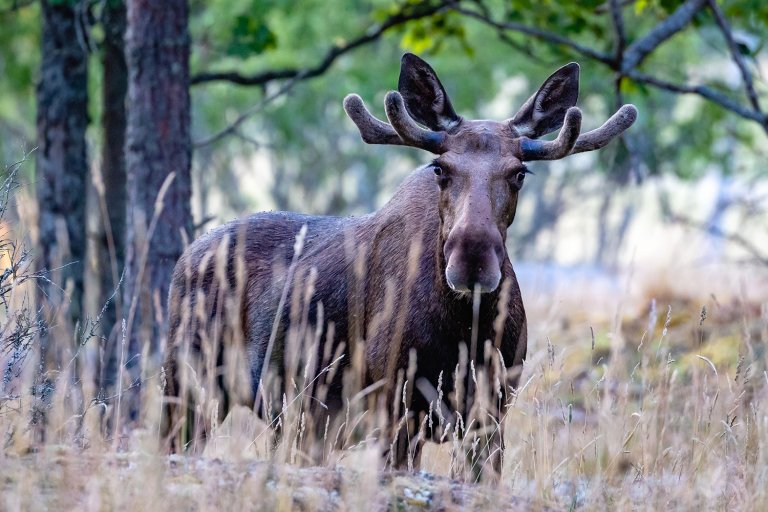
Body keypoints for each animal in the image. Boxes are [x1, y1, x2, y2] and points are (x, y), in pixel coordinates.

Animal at [165, 53, 640, 472]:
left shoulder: (491, 413)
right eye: (440, 168)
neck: (465, 333)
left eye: (519, 173)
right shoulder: (395, 410)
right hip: (190, 381)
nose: (471, 260)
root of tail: (186, 255)